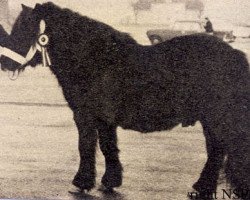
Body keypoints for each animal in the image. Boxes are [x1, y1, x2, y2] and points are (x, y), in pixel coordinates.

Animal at [0, 2, 250, 199]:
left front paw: (82, 183)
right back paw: (202, 186)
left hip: (216, 118)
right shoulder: (104, 120)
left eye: (23, 30)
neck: (93, 58)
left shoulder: (85, 116)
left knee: (218, 150)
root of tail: (235, 54)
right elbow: (108, 147)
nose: (4, 62)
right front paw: (109, 182)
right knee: (216, 151)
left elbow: (86, 147)